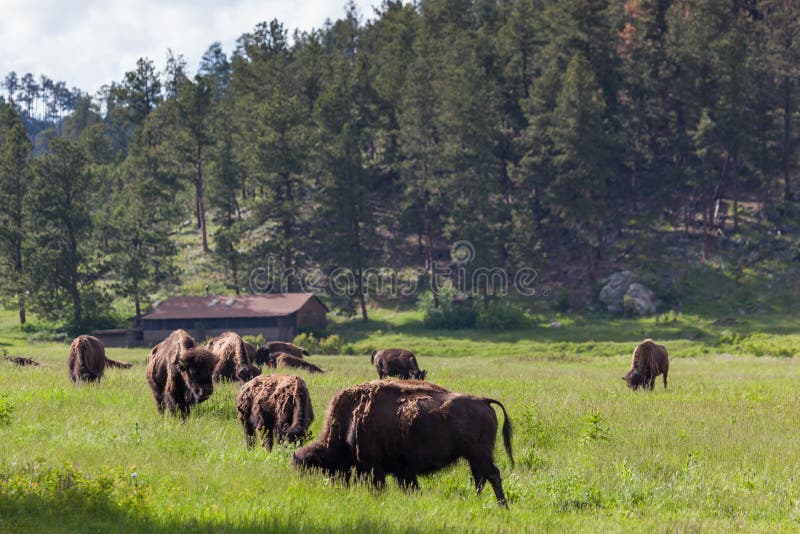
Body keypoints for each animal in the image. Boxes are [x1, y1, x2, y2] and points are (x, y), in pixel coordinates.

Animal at [292, 380, 514, 505]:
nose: (336, 487)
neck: (350, 420)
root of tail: (484, 401)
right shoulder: (403, 472)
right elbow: (409, 485)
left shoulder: (375, 468)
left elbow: (380, 486)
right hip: (474, 457)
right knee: (481, 477)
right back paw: (476, 500)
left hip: (479, 454)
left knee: (492, 475)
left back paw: (501, 505)